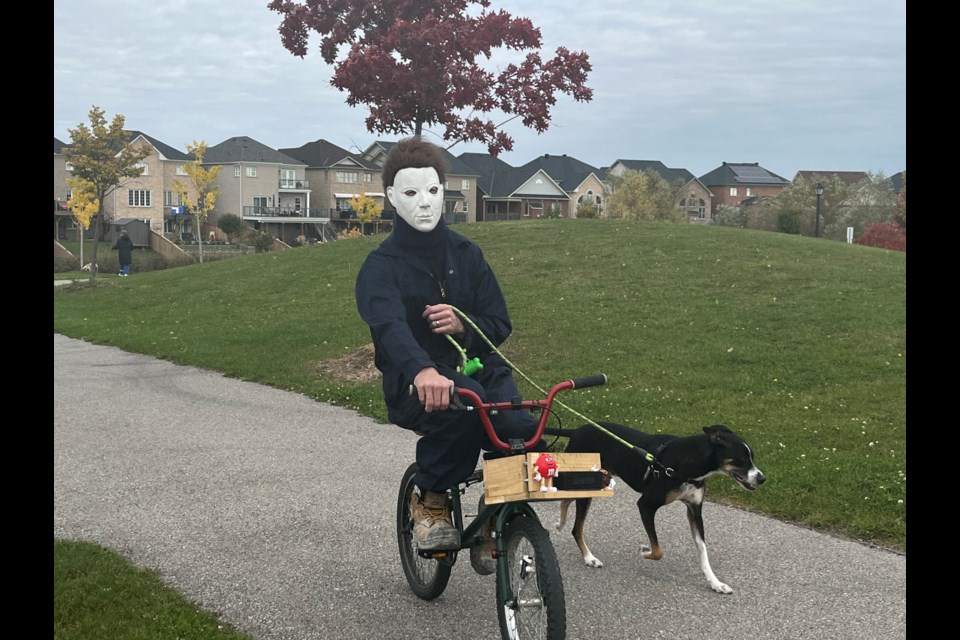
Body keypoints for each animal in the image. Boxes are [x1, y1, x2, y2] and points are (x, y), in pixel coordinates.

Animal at [548, 420, 764, 596]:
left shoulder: (694, 510)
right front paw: (644, 550)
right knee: (575, 525)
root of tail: (577, 430)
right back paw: (588, 556)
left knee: (566, 502)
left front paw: (715, 583)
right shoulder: (646, 505)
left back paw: (561, 524)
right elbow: (658, 551)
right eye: (741, 459)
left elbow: (703, 550)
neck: (687, 463)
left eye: (752, 456)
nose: (762, 478)